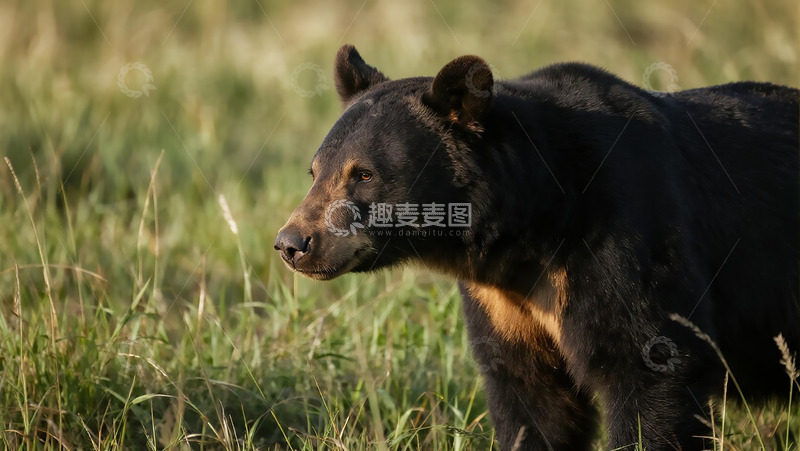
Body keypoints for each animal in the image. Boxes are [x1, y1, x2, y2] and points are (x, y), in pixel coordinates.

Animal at [274, 44, 800, 450]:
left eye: (362, 174)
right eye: (315, 170)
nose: (292, 243)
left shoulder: (628, 240)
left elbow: (650, 364)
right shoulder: (506, 301)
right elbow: (530, 398)